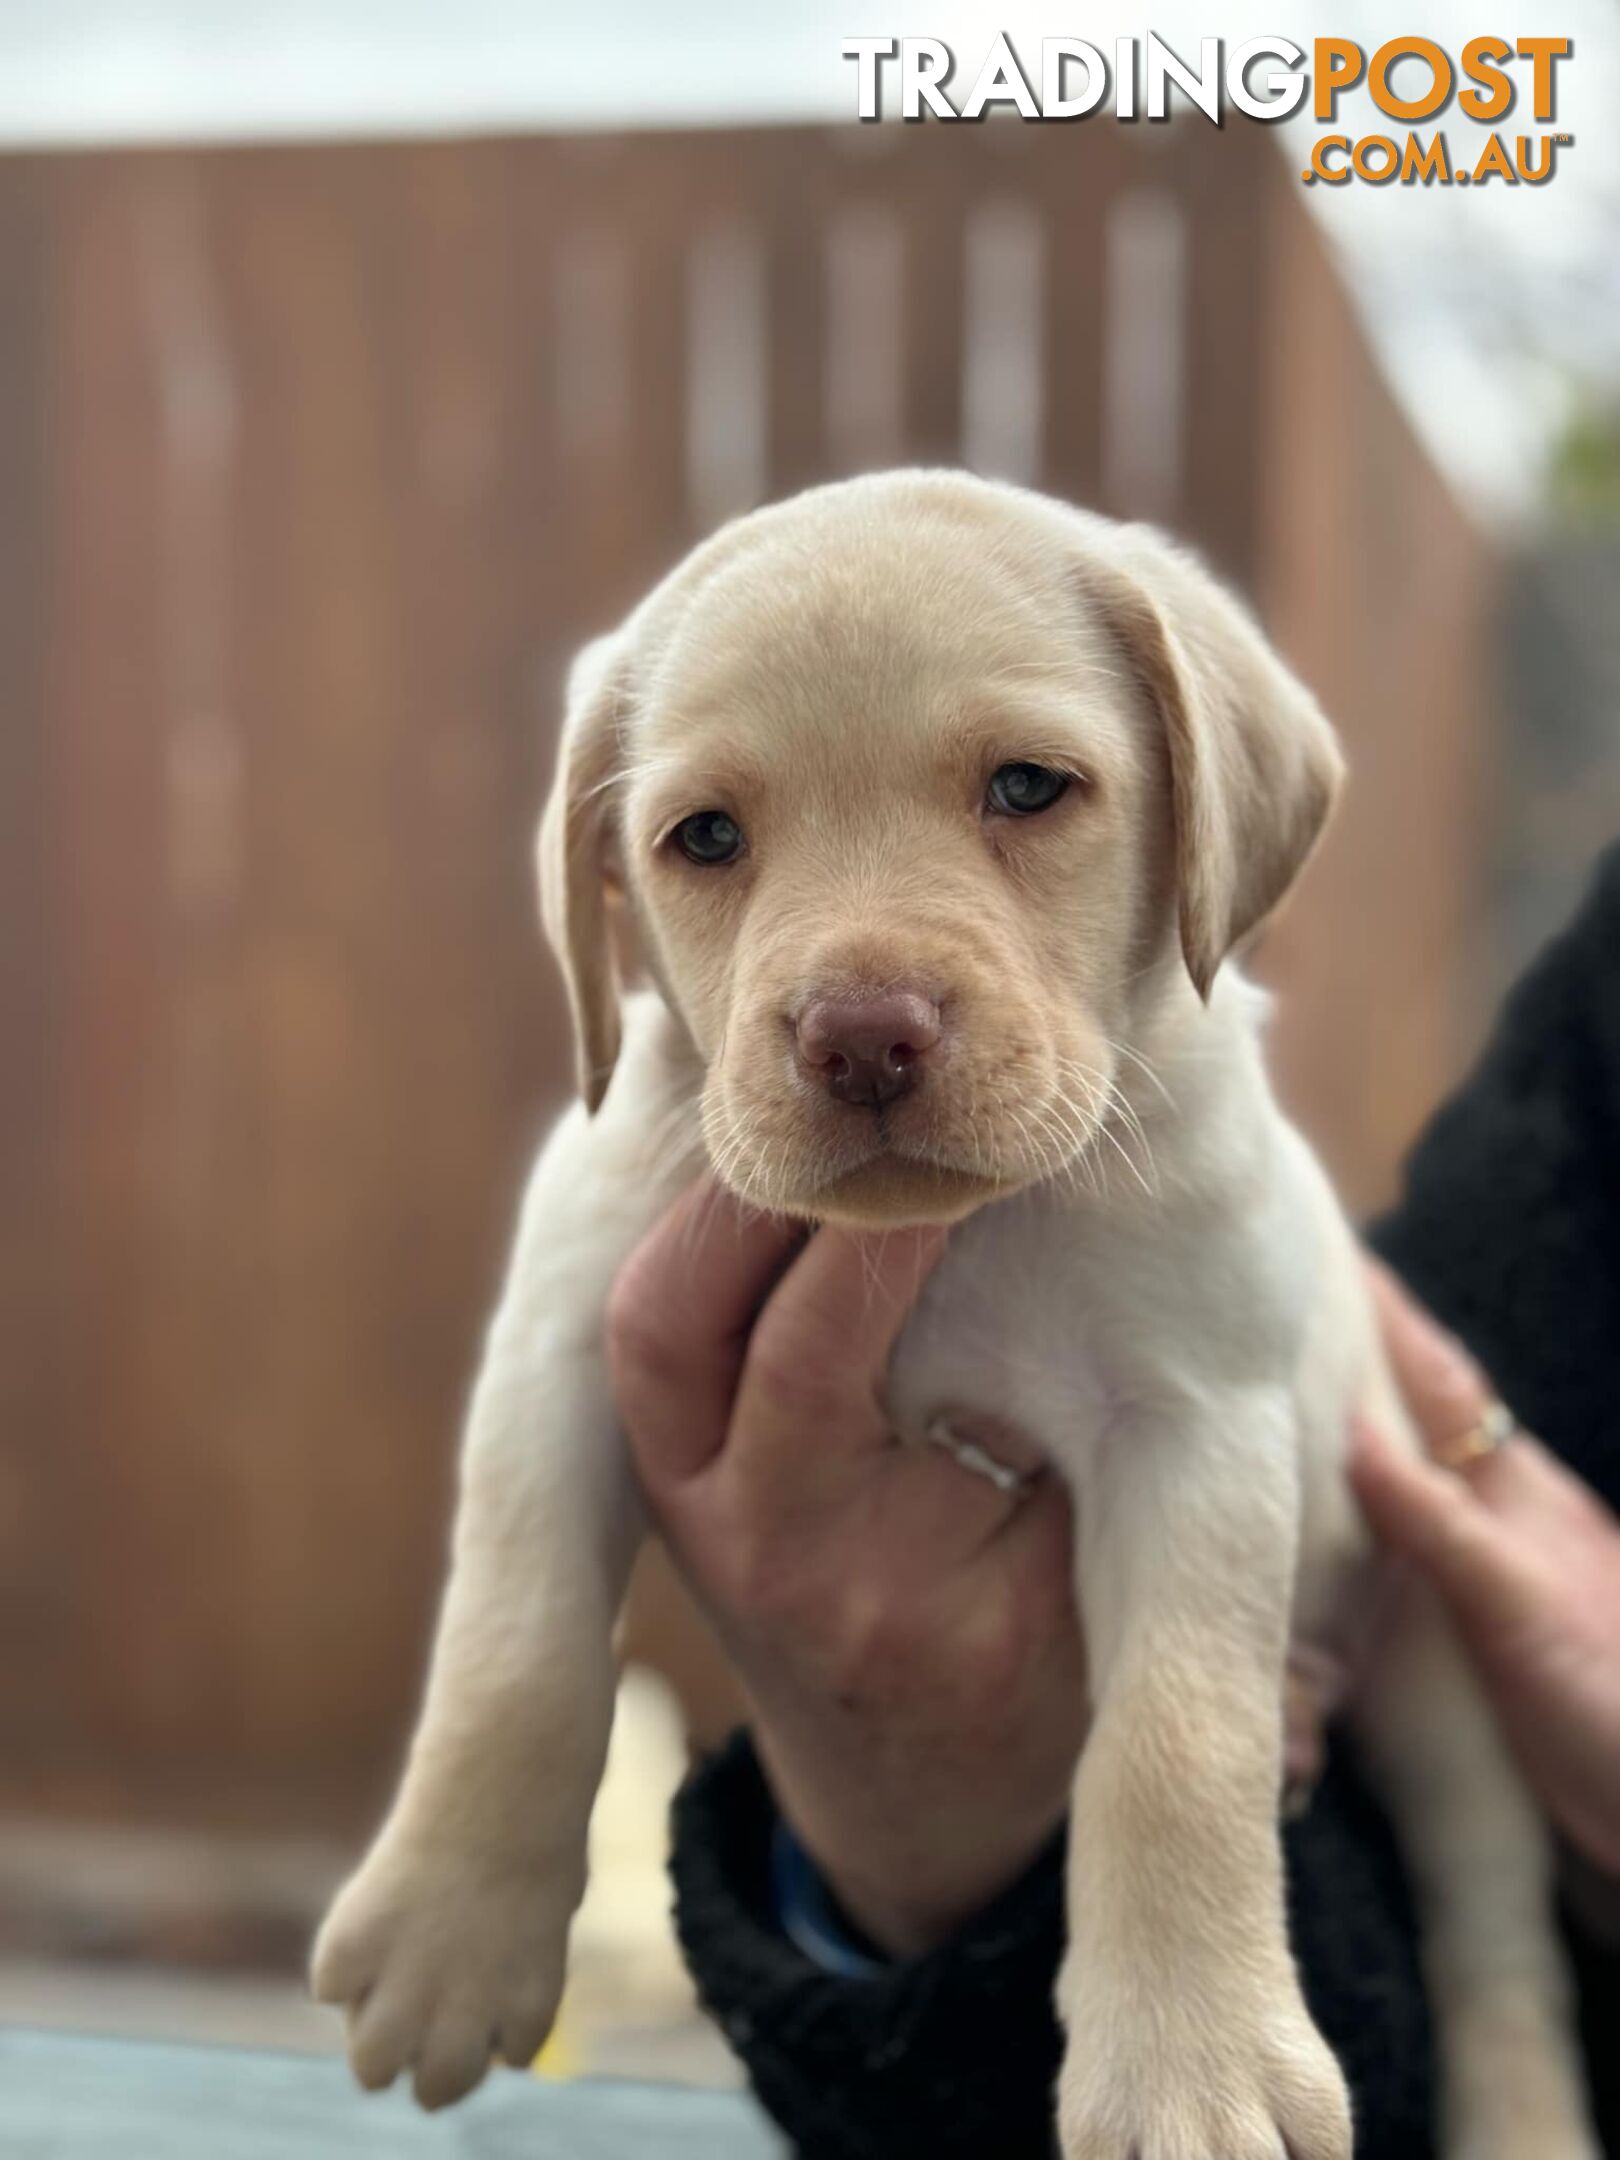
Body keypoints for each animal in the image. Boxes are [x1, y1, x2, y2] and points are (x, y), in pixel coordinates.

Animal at [313, 473, 1598, 2160]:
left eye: (1030, 789)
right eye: (704, 836)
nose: (862, 1036)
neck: (953, 1238)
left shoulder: (1197, 1428)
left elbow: (1175, 1740)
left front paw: (1192, 2064)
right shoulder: (560, 1344)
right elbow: (511, 1641)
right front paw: (448, 1931)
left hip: (1442, 1653)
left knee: (1492, 1935)